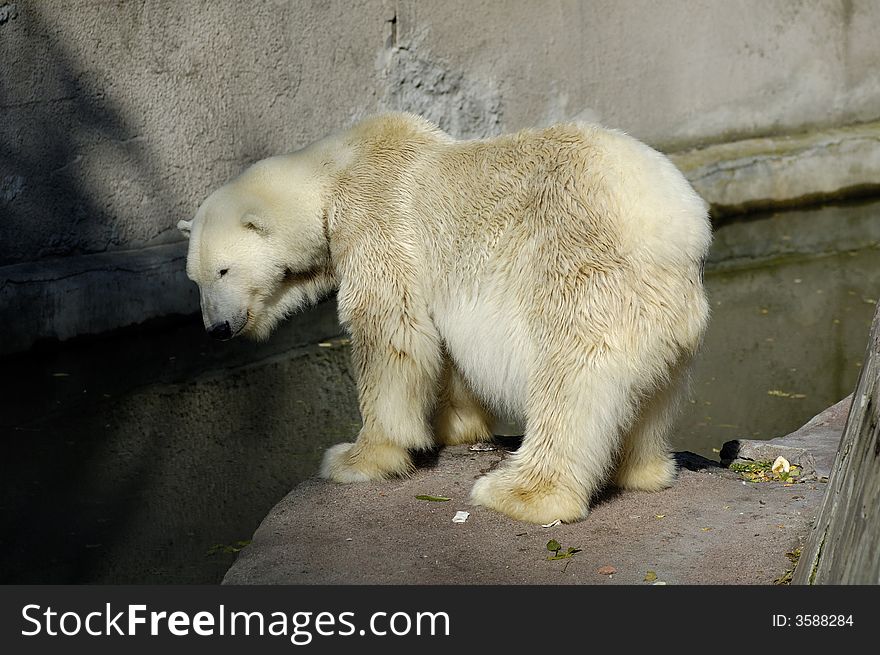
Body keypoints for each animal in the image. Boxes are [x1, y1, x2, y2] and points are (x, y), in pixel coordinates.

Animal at [179, 111, 708, 524]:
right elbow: (443, 347)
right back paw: (641, 470)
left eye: (223, 269)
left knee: (570, 383)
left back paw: (519, 493)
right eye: (195, 279)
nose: (217, 329)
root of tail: (676, 227)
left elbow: (390, 333)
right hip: (670, 315)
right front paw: (456, 427)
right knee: (649, 394)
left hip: (583, 272)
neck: (336, 168)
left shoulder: (375, 221)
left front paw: (357, 458)